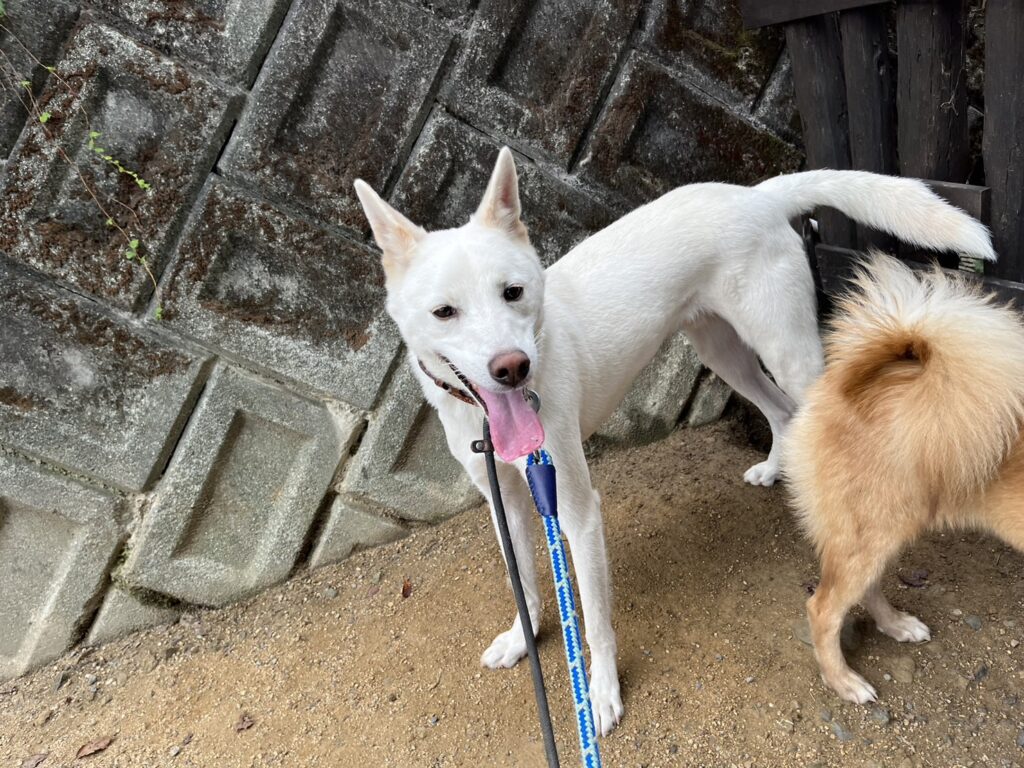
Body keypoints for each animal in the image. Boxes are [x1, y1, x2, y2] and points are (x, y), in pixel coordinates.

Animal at [354, 148, 994, 734]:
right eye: (444, 312)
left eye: (513, 292)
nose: (512, 368)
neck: (491, 415)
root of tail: (756, 195)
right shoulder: (503, 499)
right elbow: (525, 585)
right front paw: (523, 638)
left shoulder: (578, 509)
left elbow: (596, 622)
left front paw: (601, 694)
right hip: (721, 349)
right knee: (779, 412)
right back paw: (776, 469)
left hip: (787, 351)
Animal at [783, 254, 1024, 704]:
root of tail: (845, 382)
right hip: (870, 532)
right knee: (823, 609)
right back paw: (843, 681)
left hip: (879, 531)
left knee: (866, 589)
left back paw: (896, 625)